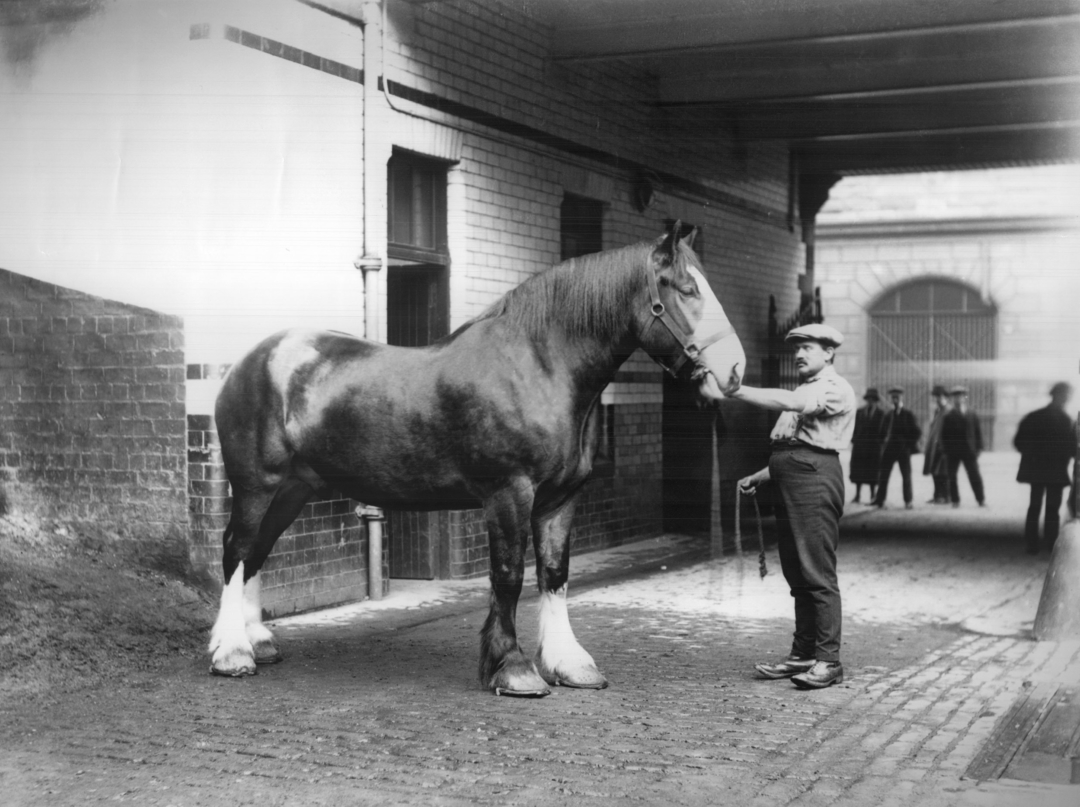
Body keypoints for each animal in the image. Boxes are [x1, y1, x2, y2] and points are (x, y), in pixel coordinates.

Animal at [209, 223, 745, 696]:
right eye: (686, 289)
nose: (735, 371)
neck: (537, 366)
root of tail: (249, 362)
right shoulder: (509, 493)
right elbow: (508, 577)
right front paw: (513, 668)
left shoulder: (561, 499)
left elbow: (554, 574)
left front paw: (569, 664)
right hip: (257, 485)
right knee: (237, 549)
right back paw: (231, 653)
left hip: (293, 489)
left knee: (256, 553)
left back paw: (257, 642)